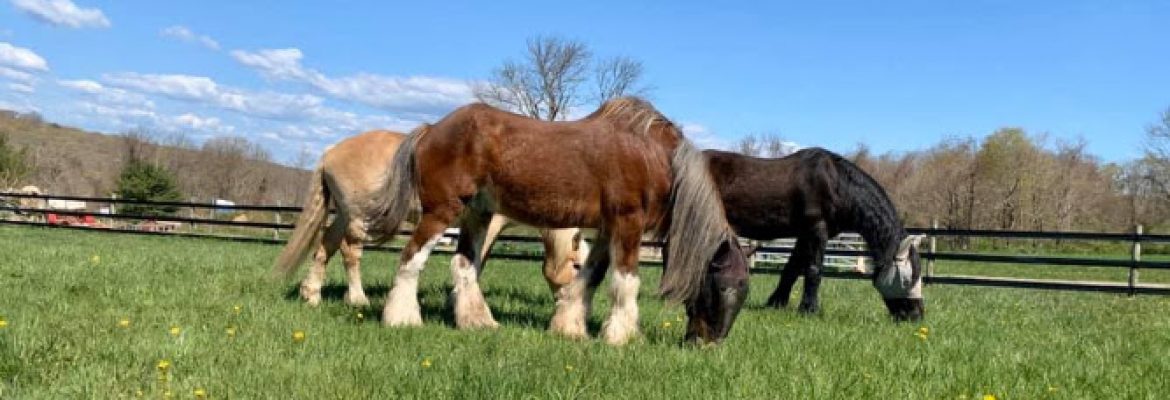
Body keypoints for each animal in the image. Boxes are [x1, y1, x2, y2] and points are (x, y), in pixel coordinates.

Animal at [273, 130, 588, 330]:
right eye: (577, 265)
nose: (569, 304)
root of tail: (330, 152)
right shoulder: (489, 225)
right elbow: (477, 263)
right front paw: (457, 303)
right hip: (359, 218)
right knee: (350, 252)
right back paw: (357, 298)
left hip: (342, 214)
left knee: (326, 245)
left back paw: (312, 295)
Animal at [369, 97, 748, 345]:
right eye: (721, 287)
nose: (708, 344)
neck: (654, 156)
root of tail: (432, 128)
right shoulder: (629, 222)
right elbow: (626, 281)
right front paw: (623, 337)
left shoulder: (608, 227)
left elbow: (591, 277)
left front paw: (569, 327)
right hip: (441, 211)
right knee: (411, 259)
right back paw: (402, 320)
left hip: (478, 214)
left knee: (463, 266)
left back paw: (478, 323)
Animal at [704, 148, 926, 321]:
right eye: (908, 280)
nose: (916, 316)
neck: (837, 184)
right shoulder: (817, 229)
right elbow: (813, 270)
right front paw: (809, 309)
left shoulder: (805, 234)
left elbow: (792, 269)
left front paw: (776, 303)